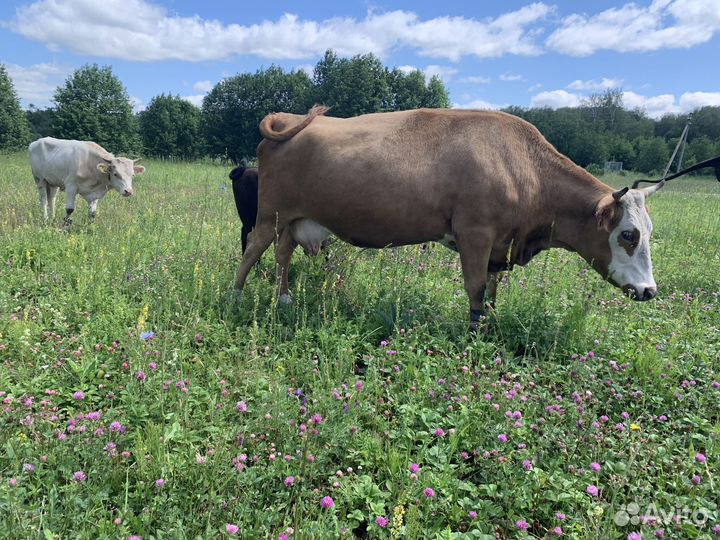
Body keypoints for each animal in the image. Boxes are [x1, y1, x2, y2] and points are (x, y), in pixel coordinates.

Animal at [234, 106, 664, 327]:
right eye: (628, 234)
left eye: (649, 231)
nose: (649, 291)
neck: (522, 165)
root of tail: (287, 120)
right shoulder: (475, 234)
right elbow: (476, 288)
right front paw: (473, 333)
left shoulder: (500, 245)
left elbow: (493, 290)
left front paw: (490, 322)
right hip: (269, 215)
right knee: (252, 251)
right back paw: (234, 297)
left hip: (294, 220)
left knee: (282, 254)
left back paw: (284, 299)